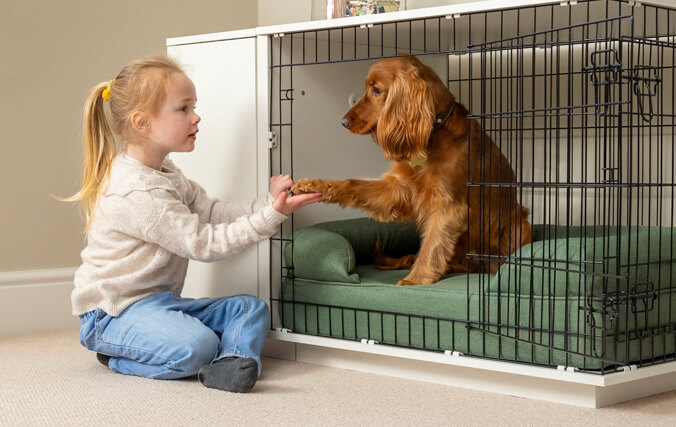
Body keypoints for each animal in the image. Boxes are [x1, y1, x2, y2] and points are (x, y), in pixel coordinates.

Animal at [294, 55, 532, 286]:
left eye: (377, 90)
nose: (343, 122)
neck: (433, 135)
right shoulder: (398, 189)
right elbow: (354, 183)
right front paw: (313, 185)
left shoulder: (448, 206)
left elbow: (432, 246)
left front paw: (414, 280)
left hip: (520, 226)